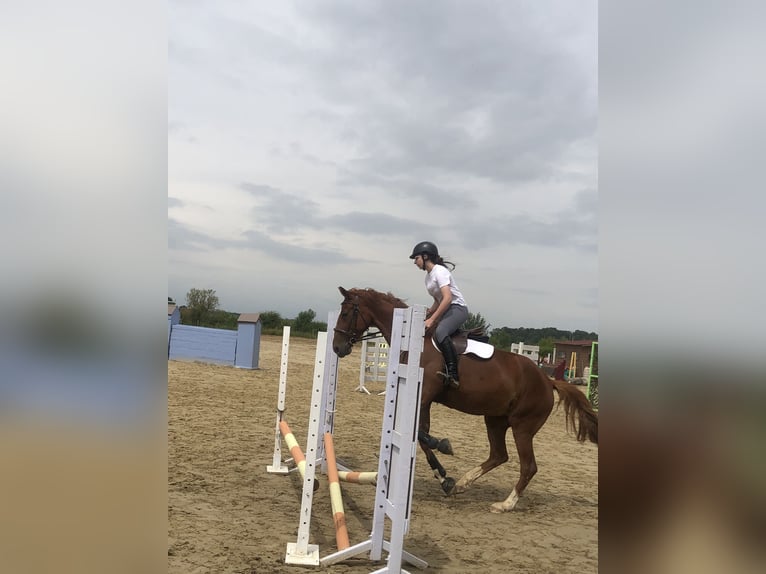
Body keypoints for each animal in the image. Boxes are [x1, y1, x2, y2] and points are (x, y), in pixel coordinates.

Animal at [332, 286, 600, 516]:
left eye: (345, 313)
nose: (337, 348)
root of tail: (547, 380)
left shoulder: (424, 397)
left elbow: (422, 435)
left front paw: (444, 446)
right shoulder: (423, 400)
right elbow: (422, 438)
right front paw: (445, 479)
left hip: (522, 427)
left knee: (528, 466)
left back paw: (505, 504)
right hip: (495, 420)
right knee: (499, 455)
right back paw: (463, 483)